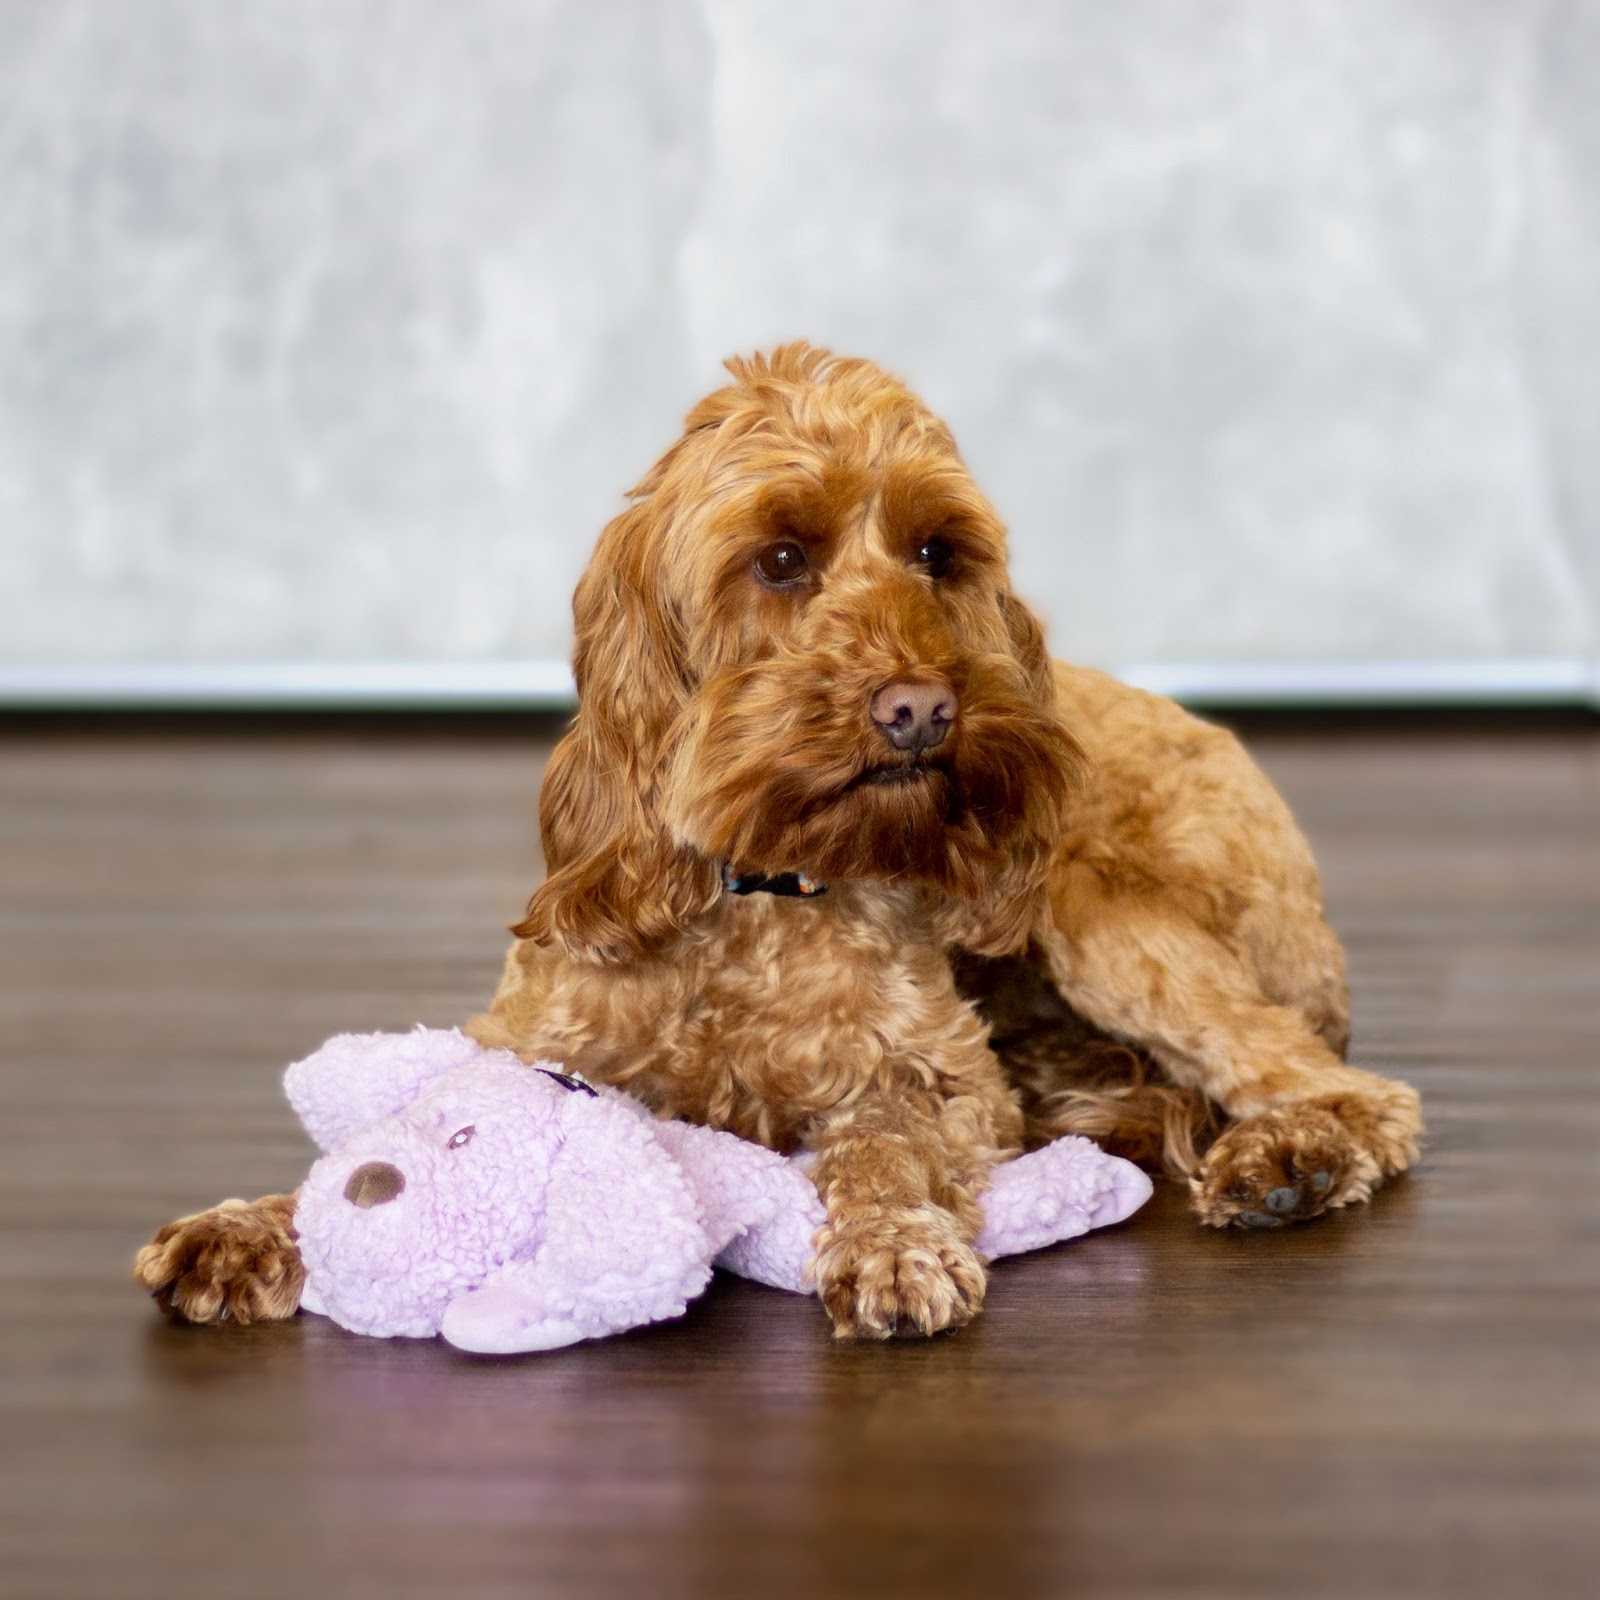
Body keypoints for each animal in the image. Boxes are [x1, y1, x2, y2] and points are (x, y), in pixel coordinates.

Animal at [134, 347, 1414, 1337]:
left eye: (937, 553)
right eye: (782, 558)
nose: (920, 709)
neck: (760, 888)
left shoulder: (942, 1076)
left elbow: (885, 1138)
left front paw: (890, 1240)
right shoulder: (538, 1038)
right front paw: (253, 1221)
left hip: (1092, 907)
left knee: (1339, 1083)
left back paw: (1289, 1156)